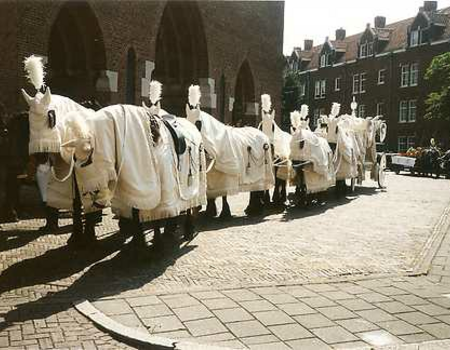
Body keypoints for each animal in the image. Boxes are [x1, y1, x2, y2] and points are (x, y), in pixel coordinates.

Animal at [184, 85, 274, 216]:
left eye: (198, 123)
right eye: (186, 120)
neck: (217, 145)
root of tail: (263, 134)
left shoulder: (227, 177)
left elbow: (224, 195)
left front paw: (225, 213)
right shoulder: (211, 179)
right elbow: (212, 195)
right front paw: (210, 211)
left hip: (262, 174)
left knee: (257, 190)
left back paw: (255, 208)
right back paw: (252, 208)